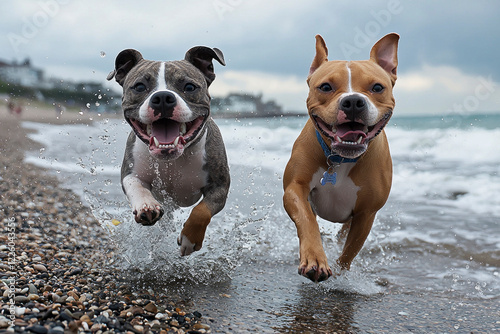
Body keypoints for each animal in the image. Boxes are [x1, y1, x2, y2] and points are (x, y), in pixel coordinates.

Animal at [107, 46, 230, 256]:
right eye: (139, 87)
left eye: (189, 87)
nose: (163, 97)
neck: (173, 158)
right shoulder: (130, 173)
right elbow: (136, 187)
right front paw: (146, 206)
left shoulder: (220, 185)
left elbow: (202, 210)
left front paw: (189, 239)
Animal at [286, 33, 398, 282]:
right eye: (326, 87)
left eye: (378, 87)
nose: (354, 101)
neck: (340, 160)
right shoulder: (294, 188)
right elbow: (307, 221)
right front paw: (315, 259)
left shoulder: (366, 214)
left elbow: (349, 251)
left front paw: (340, 274)